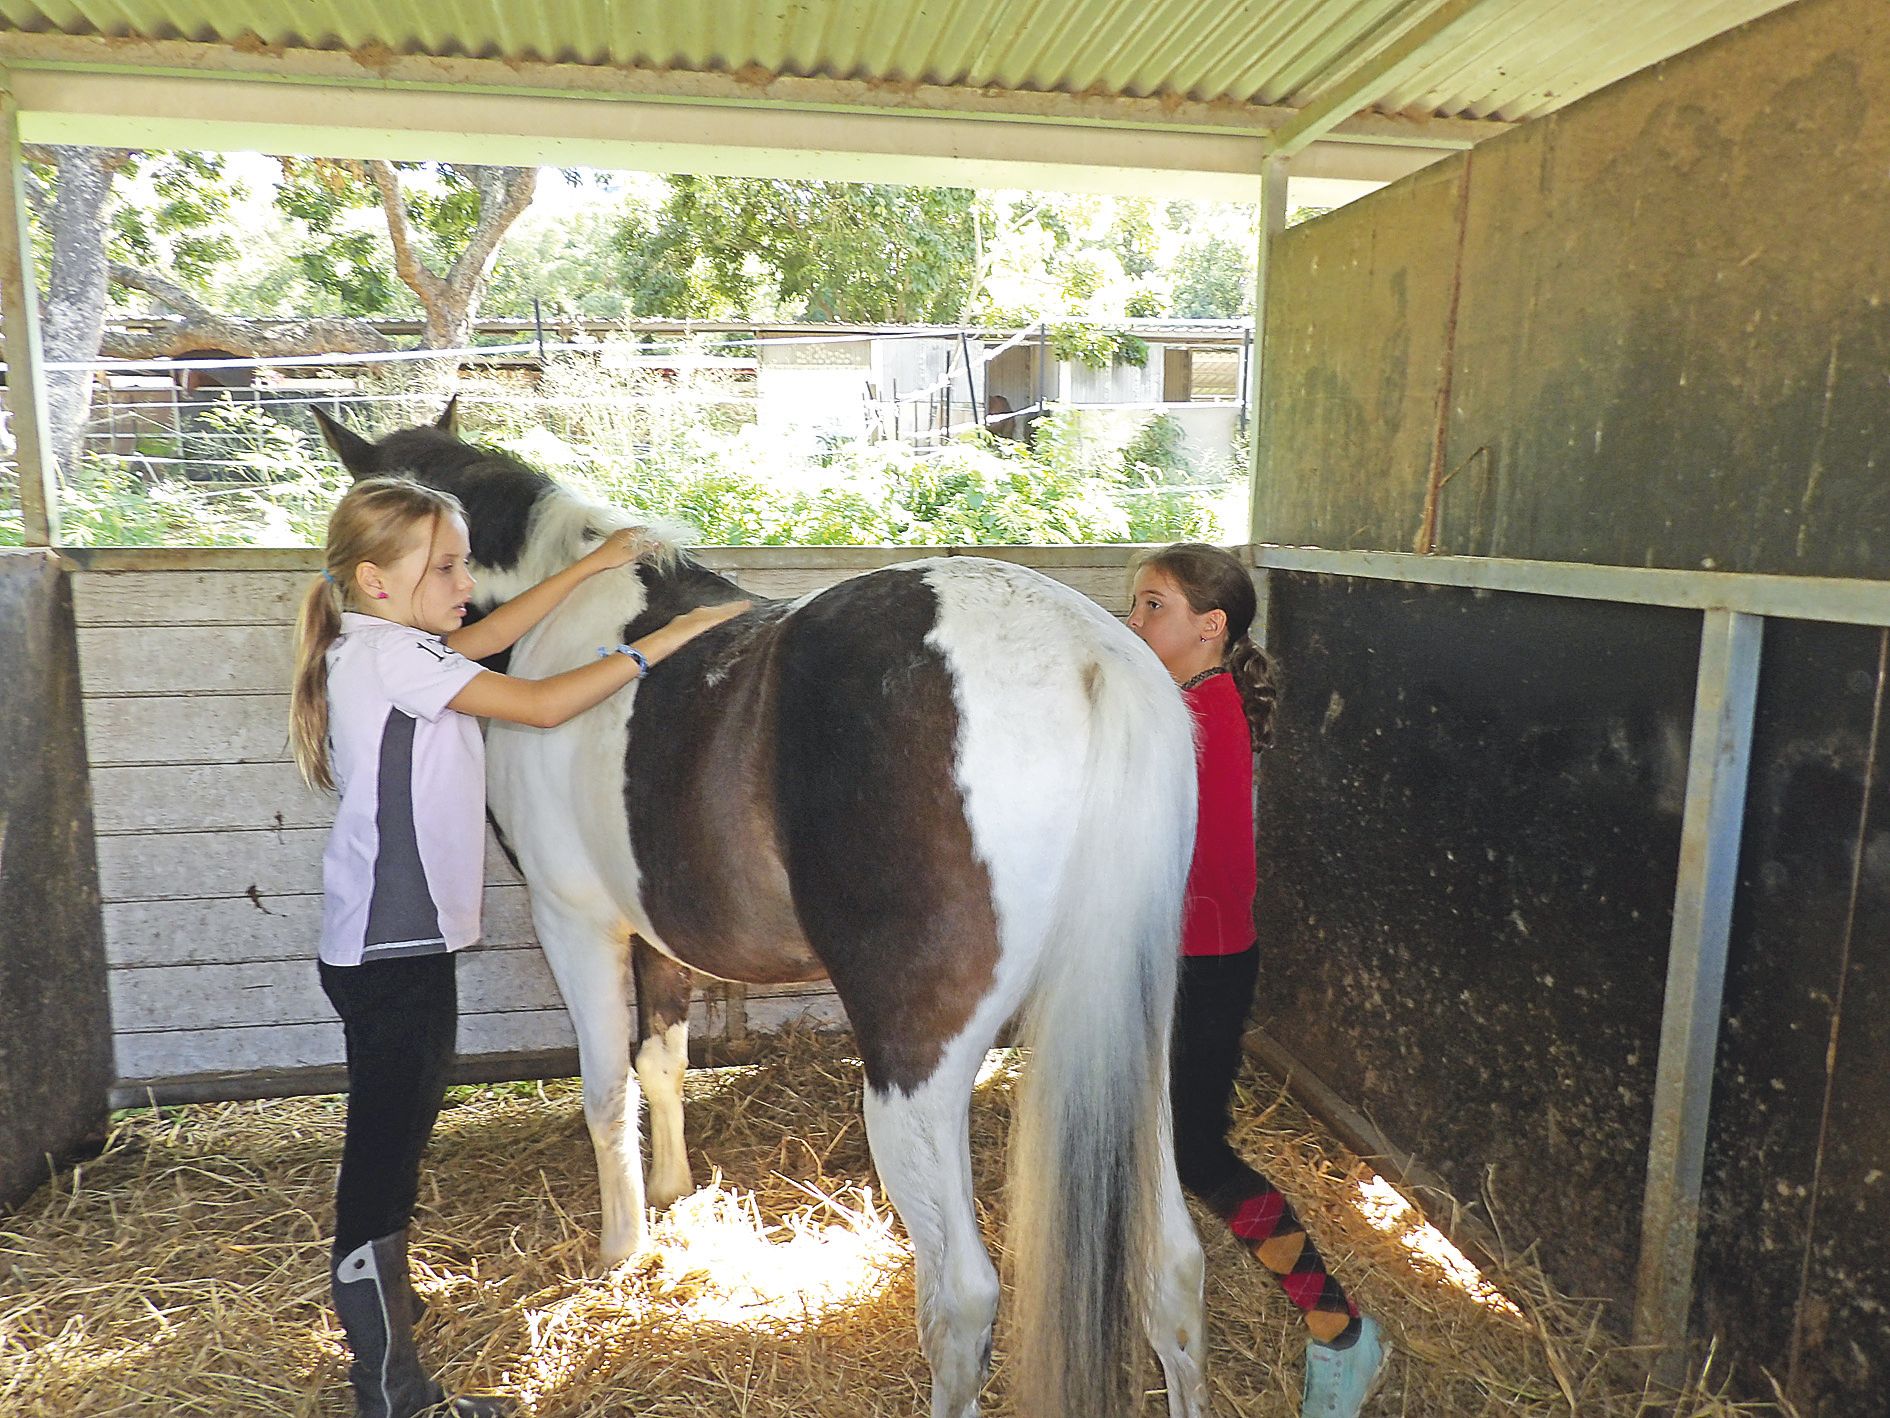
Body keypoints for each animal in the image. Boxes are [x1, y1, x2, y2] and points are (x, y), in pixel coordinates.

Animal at [311, 408, 1209, 1418]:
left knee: (963, 1298)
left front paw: (622, 1249)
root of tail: (1088, 656)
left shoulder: (575, 920)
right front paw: (672, 1193)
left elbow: (605, 1088)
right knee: (1174, 1268)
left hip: (917, 1069)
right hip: (1134, 1038)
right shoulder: (653, 927)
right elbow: (661, 1058)